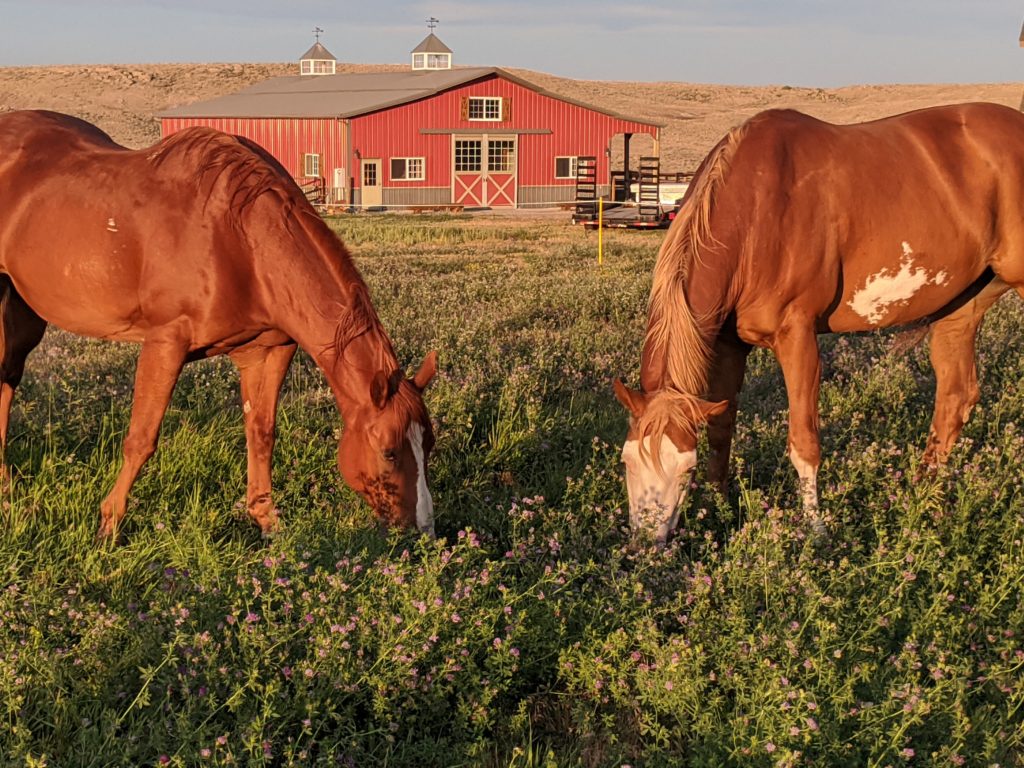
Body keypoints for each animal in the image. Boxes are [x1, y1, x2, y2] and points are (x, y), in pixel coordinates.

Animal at [0, 111, 436, 540]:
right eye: (389, 451)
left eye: (429, 444)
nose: (424, 532)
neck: (239, 239)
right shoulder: (165, 343)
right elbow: (142, 439)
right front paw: (109, 525)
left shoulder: (268, 351)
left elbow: (261, 433)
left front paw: (267, 521)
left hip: (24, 313)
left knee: (7, 377)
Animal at [614, 103, 1024, 548]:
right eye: (626, 460)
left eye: (685, 468)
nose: (644, 545)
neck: (755, 211)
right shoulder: (727, 345)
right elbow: (721, 429)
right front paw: (720, 508)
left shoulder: (798, 340)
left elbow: (804, 443)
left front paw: (816, 531)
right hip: (961, 306)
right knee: (954, 398)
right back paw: (920, 500)